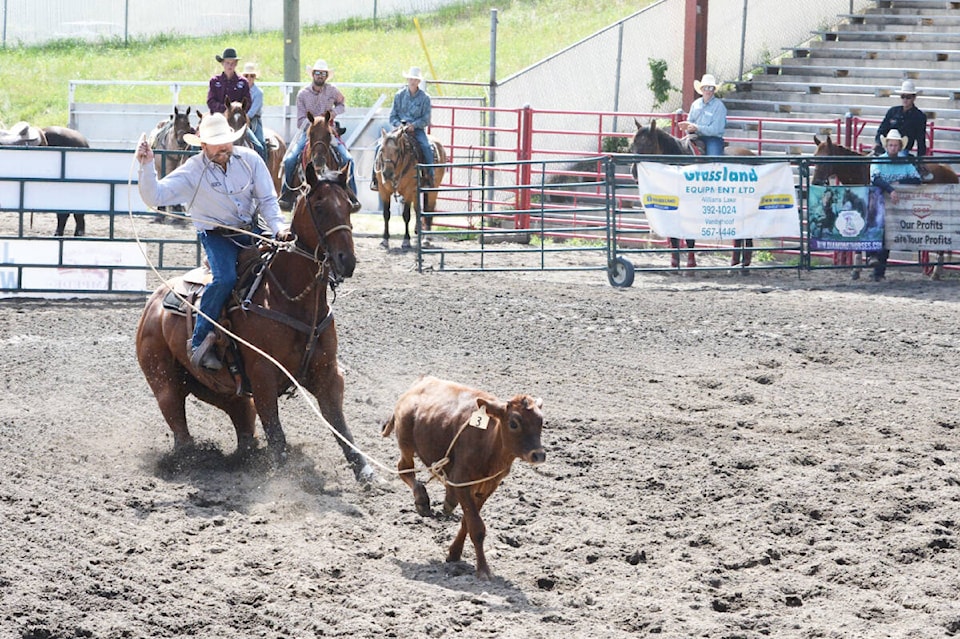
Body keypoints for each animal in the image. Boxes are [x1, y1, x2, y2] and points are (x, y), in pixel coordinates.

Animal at [133, 165, 374, 484]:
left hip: (219, 388)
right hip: (164, 382)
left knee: (242, 422)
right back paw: (193, 459)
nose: (346, 261)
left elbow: (339, 425)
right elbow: (276, 431)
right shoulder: (263, 375)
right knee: (180, 428)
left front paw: (366, 471)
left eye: (348, 205)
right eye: (320, 206)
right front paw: (285, 481)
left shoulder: (327, 371)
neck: (289, 297)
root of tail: (153, 302)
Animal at [382, 376, 548, 580]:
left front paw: (454, 553)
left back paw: (448, 501)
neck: (489, 442)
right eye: (514, 423)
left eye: (540, 422)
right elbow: (476, 526)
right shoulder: (461, 482)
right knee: (404, 469)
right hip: (405, 441)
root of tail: (420, 383)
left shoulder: (487, 486)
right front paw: (483, 569)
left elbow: (467, 522)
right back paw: (422, 499)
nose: (538, 455)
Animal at [632, 119, 756, 268]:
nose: (634, 172)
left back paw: (745, 263)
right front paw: (674, 263)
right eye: (632, 145)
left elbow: (690, 238)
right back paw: (735, 264)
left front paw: (690, 264)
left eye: (649, 144)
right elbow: (673, 237)